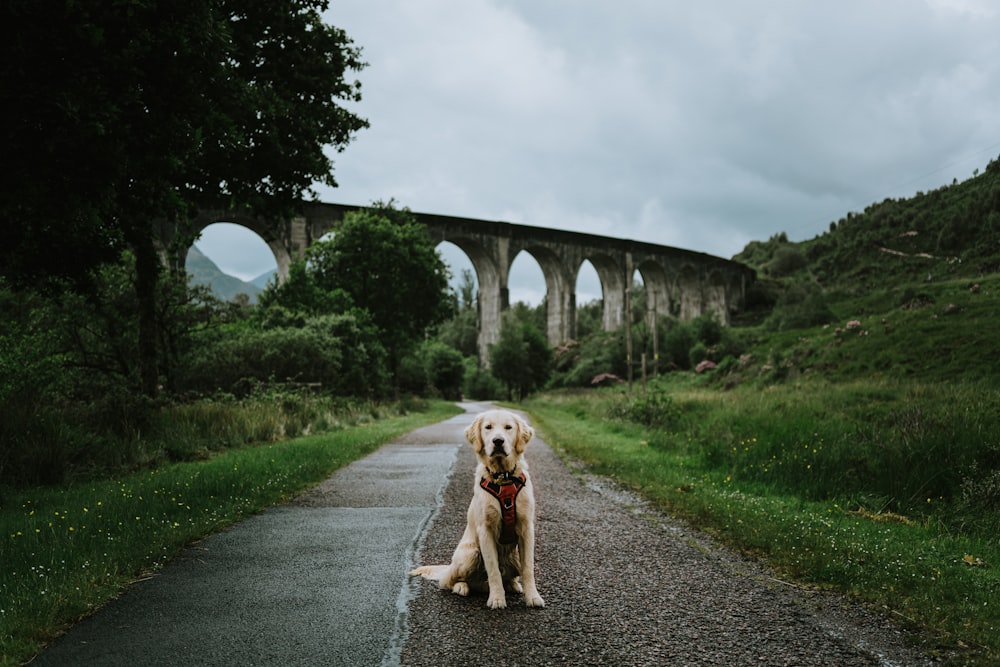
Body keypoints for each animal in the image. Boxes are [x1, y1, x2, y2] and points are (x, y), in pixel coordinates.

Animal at [408, 408, 544, 612]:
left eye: (508, 427)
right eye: (488, 427)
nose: (498, 441)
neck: (503, 478)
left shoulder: (526, 528)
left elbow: (528, 568)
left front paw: (533, 597)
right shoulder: (485, 530)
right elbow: (493, 569)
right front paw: (497, 599)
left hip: (513, 555)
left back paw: (513, 585)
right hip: (470, 553)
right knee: (447, 582)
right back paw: (462, 587)